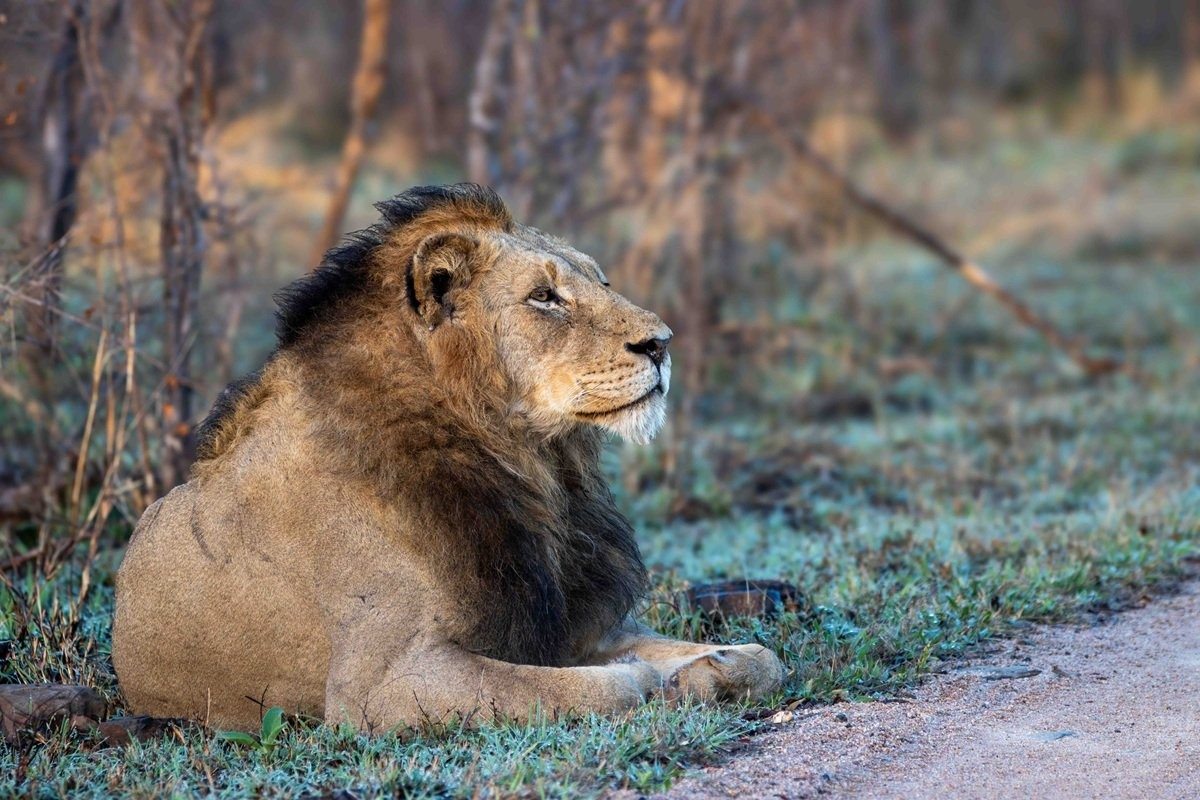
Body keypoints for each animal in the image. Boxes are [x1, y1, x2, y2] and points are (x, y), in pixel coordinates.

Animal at [112, 184, 783, 732]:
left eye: (603, 282)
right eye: (545, 297)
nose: (662, 343)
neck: (534, 465)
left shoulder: (570, 622)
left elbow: (765, 659)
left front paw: (709, 669)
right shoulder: (375, 688)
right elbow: (574, 689)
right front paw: (658, 684)